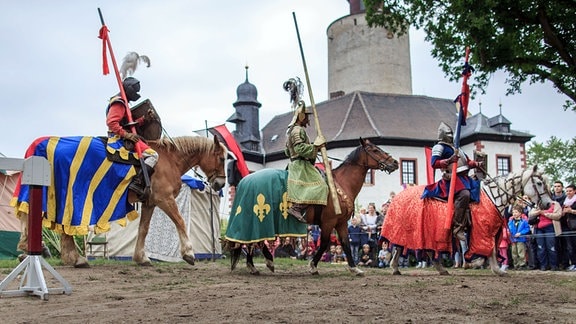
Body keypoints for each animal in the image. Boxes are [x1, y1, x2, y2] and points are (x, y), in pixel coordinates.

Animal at [14, 135, 226, 268]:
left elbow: (143, 229)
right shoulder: (164, 198)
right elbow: (180, 221)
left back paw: (71, 258)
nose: (220, 184)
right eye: (222, 158)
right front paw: (189, 253)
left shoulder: (150, 202)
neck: (169, 159)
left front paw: (141, 258)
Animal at [227, 139, 398, 276]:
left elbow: (346, 244)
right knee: (254, 241)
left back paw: (255, 265)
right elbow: (324, 244)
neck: (341, 183)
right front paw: (313, 266)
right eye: (375, 150)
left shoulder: (341, 223)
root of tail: (245, 181)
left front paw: (354, 268)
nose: (395, 163)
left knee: (252, 241)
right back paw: (265, 262)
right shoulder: (329, 222)